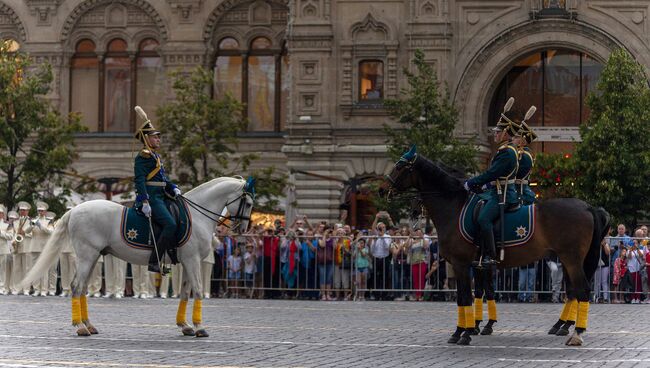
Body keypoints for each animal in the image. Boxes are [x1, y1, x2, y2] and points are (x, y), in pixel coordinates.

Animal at [20, 178, 253, 336]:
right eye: (249, 203)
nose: (244, 229)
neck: (196, 216)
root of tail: (76, 209)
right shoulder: (192, 260)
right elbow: (197, 291)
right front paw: (199, 327)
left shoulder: (188, 262)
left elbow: (186, 292)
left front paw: (185, 325)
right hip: (87, 255)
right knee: (77, 286)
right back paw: (80, 327)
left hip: (93, 257)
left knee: (83, 287)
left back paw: (88, 324)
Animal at [378, 149, 612, 344]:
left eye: (400, 166)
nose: (381, 189)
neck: (454, 206)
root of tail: (588, 206)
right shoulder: (479, 264)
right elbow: (479, 293)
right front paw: (471, 328)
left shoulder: (463, 264)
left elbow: (466, 296)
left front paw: (465, 332)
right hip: (568, 259)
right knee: (573, 291)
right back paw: (564, 326)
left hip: (571, 259)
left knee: (581, 290)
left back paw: (576, 332)